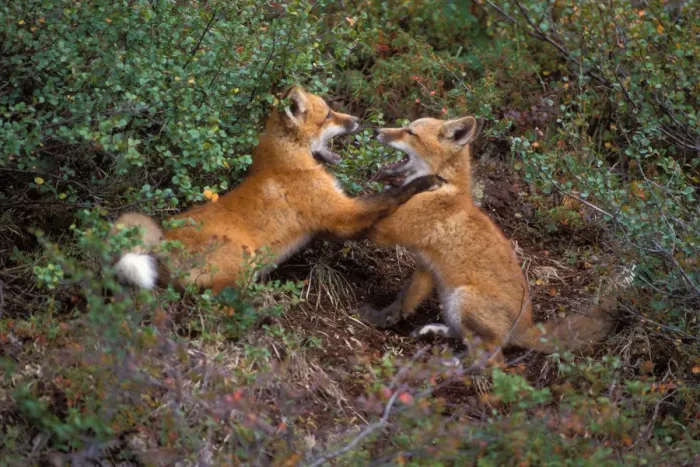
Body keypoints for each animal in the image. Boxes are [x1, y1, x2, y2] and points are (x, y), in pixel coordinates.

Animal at [110, 86, 440, 294]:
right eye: (329, 115)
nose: (359, 121)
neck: (289, 162)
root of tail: (163, 240)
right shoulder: (339, 215)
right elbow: (389, 197)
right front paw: (424, 183)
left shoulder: (335, 222)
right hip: (244, 258)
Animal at [359, 115, 634, 363]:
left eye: (410, 132)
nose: (375, 131)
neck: (444, 187)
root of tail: (524, 328)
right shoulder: (426, 268)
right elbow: (403, 301)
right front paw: (381, 319)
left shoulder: (387, 230)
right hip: (451, 303)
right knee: (467, 339)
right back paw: (436, 333)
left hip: (464, 299)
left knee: (492, 358)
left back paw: (446, 366)